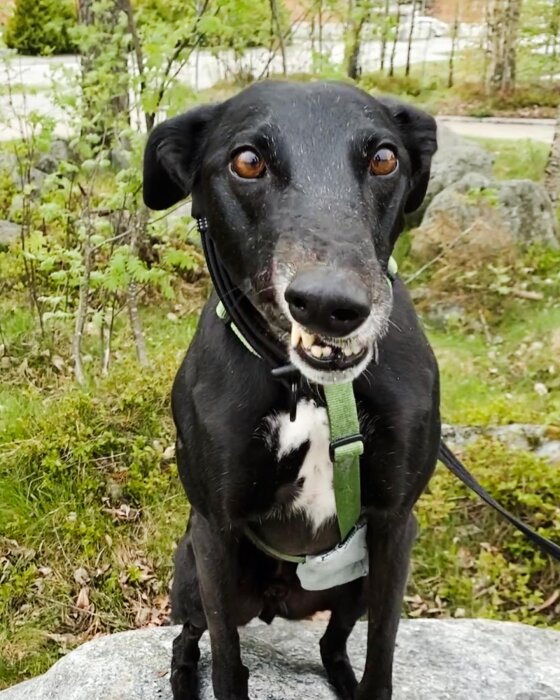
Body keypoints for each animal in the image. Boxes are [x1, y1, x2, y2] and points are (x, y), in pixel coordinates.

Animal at [143, 83, 442, 700]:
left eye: (384, 158)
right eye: (247, 161)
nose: (332, 305)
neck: (313, 388)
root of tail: (280, 603)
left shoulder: (396, 524)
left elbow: (382, 655)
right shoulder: (214, 530)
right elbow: (228, 665)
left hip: (356, 581)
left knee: (333, 640)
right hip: (194, 575)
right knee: (187, 636)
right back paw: (183, 679)